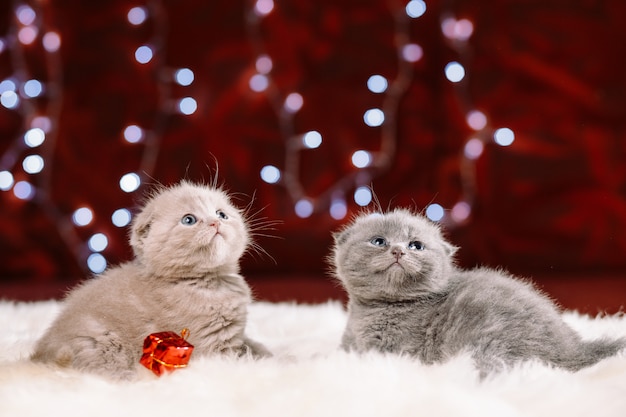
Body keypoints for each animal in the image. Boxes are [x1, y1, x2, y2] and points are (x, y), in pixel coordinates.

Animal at [31, 180, 270, 378]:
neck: (208, 282)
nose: (215, 223)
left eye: (221, 214)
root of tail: (40, 353)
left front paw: (268, 354)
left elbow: (252, 345)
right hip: (100, 341)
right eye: (189, 220)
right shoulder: (214, 346)